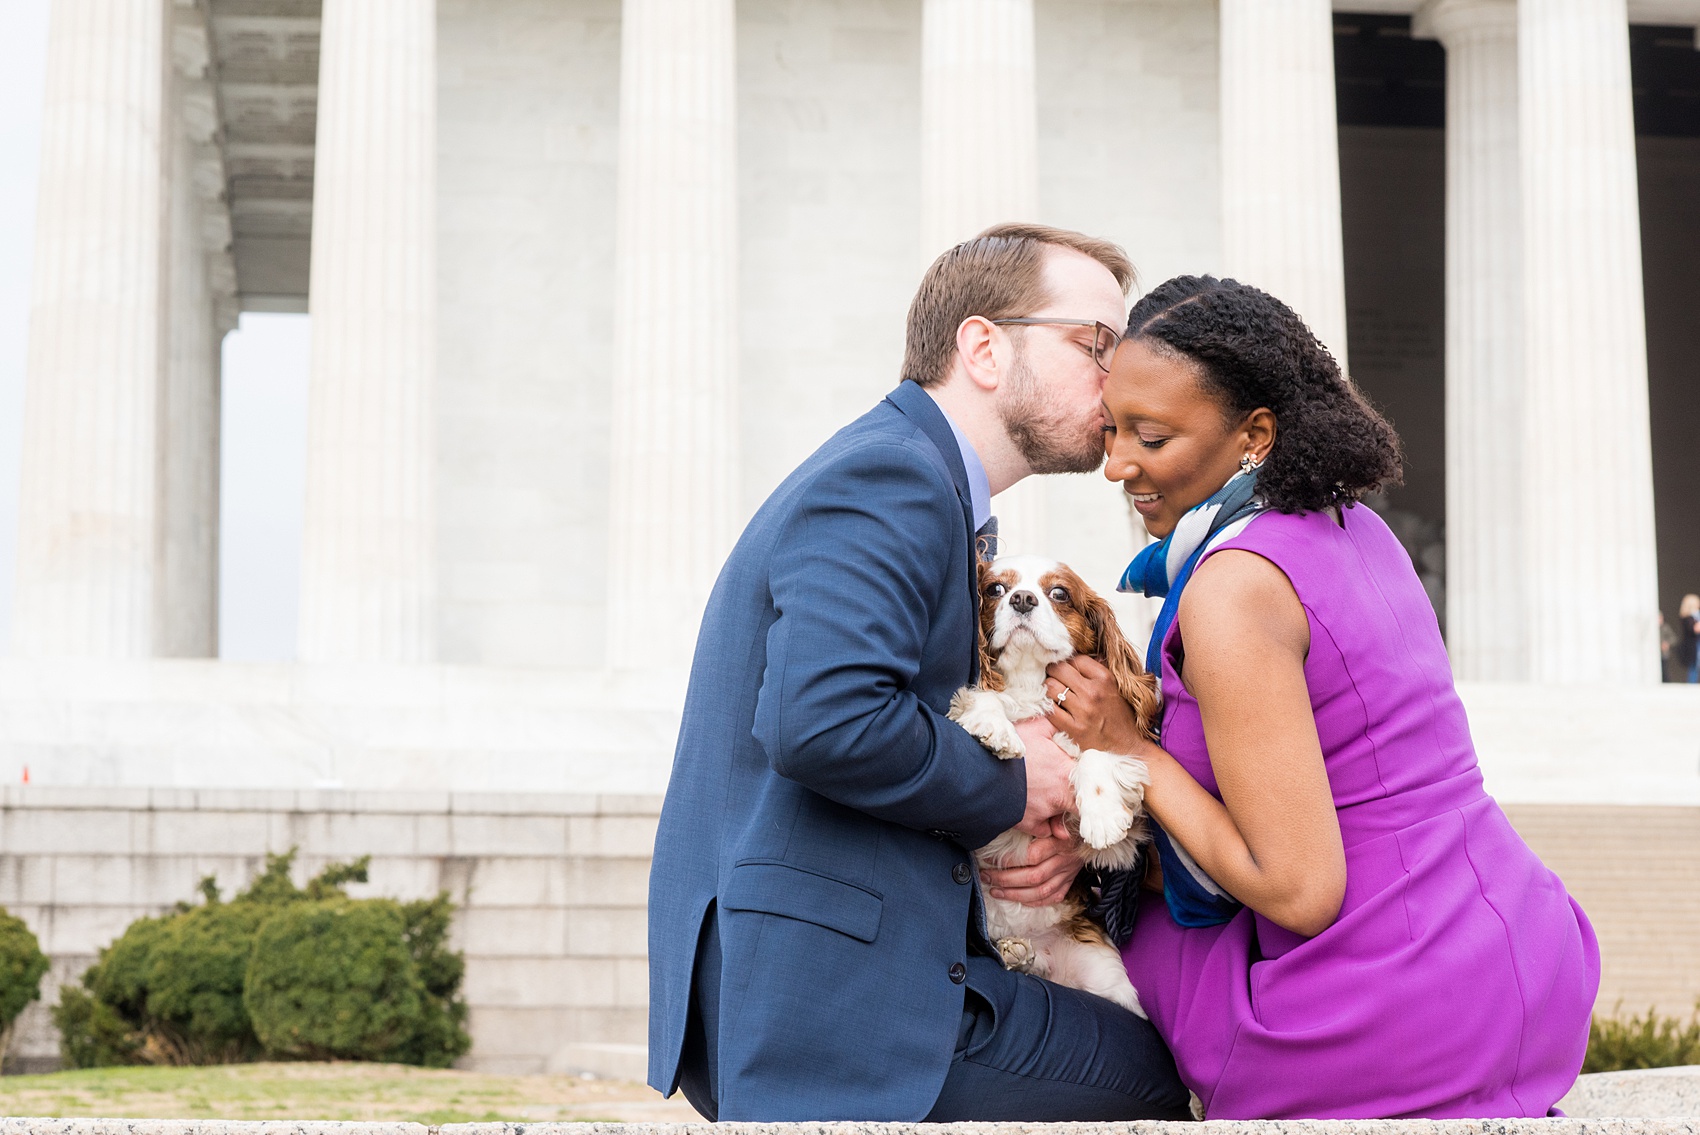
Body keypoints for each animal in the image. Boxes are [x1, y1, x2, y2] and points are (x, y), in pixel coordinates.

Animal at [952, 553, 1162, 1012]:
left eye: (1059, 593)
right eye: (995, 589)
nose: (1022, 599)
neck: (1030, 684)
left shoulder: (1129, 839)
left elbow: (1097, 753)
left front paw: (1101, 814)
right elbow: (983, 697)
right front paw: (995, 726)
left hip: (1107, 981)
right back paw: (1016, 953)